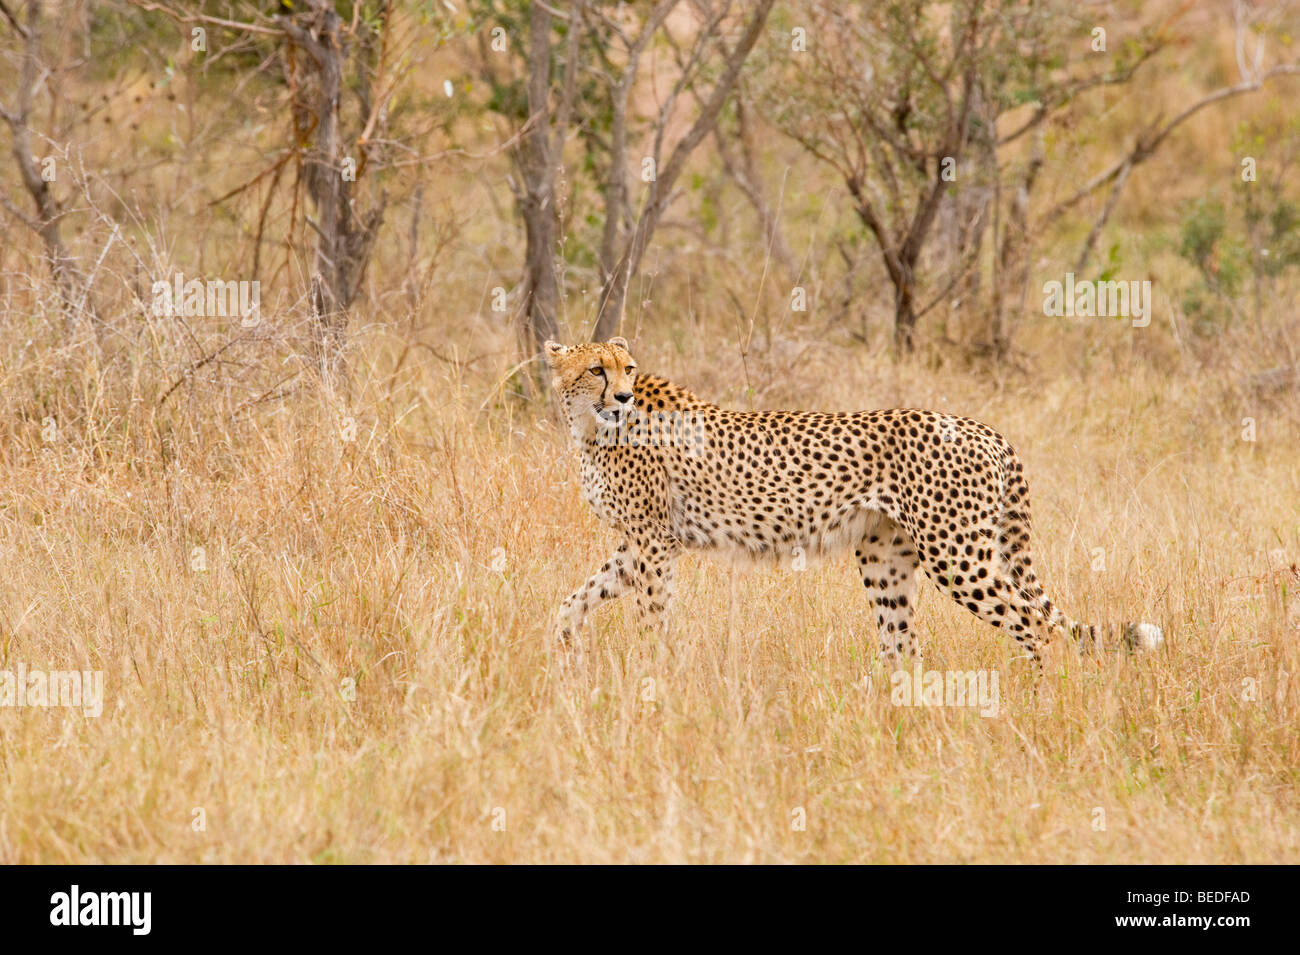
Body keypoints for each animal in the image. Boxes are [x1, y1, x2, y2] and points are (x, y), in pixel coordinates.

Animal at [543, 340, 1164, 670]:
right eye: (596, 368)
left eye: (625, 368)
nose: (623, 396)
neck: (591, 425)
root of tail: (979, 425)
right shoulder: (636, 544)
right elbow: (575, 599)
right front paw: (565, 648)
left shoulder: (654, 542)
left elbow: (651, 616)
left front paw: (652, 675)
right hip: (886, 557)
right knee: (904, 645)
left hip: (957, 554)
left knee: (1034, 624)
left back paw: (1036, 698)